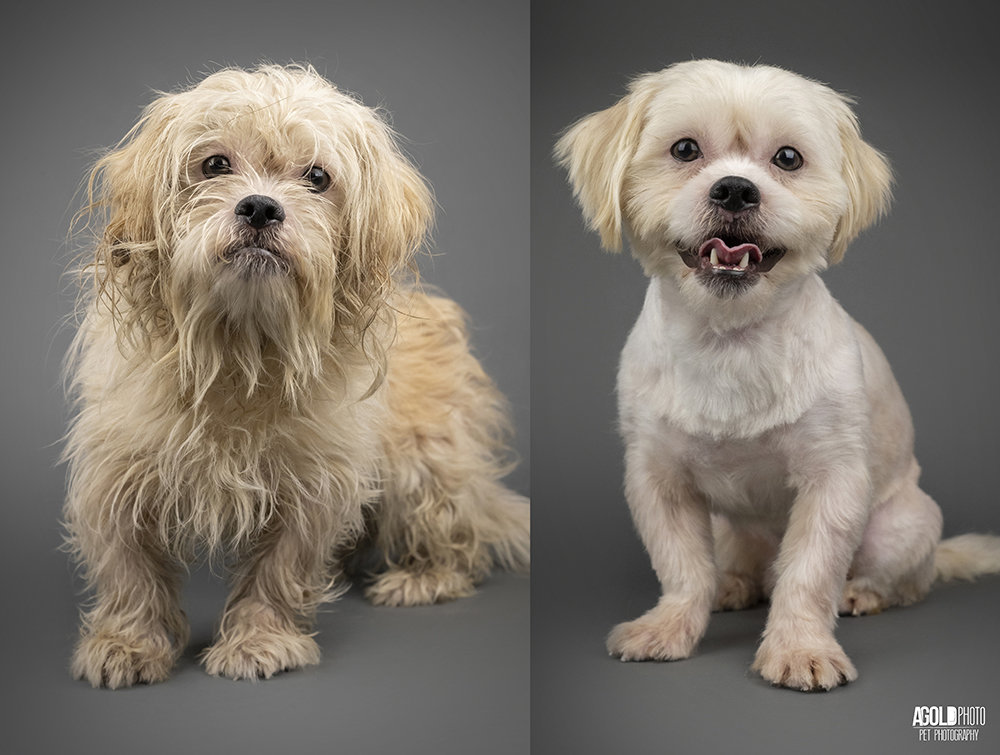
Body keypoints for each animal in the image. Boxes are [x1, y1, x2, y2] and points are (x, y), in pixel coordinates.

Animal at [62, 66, 532, 692]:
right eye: (215, 164)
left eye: (317, 177)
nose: (261, 208)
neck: (242, 346)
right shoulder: (117, 473)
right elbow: (129, 570)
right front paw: (129, 642)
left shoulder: (311, 484)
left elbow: (278, 569)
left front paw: (260, 639)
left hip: (427, 461)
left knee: (462, 539)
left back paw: (423, 576)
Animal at [556, 60, 1000, 692]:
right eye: (685, 149)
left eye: (788, 158)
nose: (735, 189)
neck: (731, 341)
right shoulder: (658, 479)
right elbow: (682, 569)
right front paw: (670, 627)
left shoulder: (832, 482)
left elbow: (808, 576)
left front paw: (799, 649)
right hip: (726, 529)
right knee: (740, 568)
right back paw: (734, 585)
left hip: (905, 524)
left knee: (898, 581)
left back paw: (862, 593)